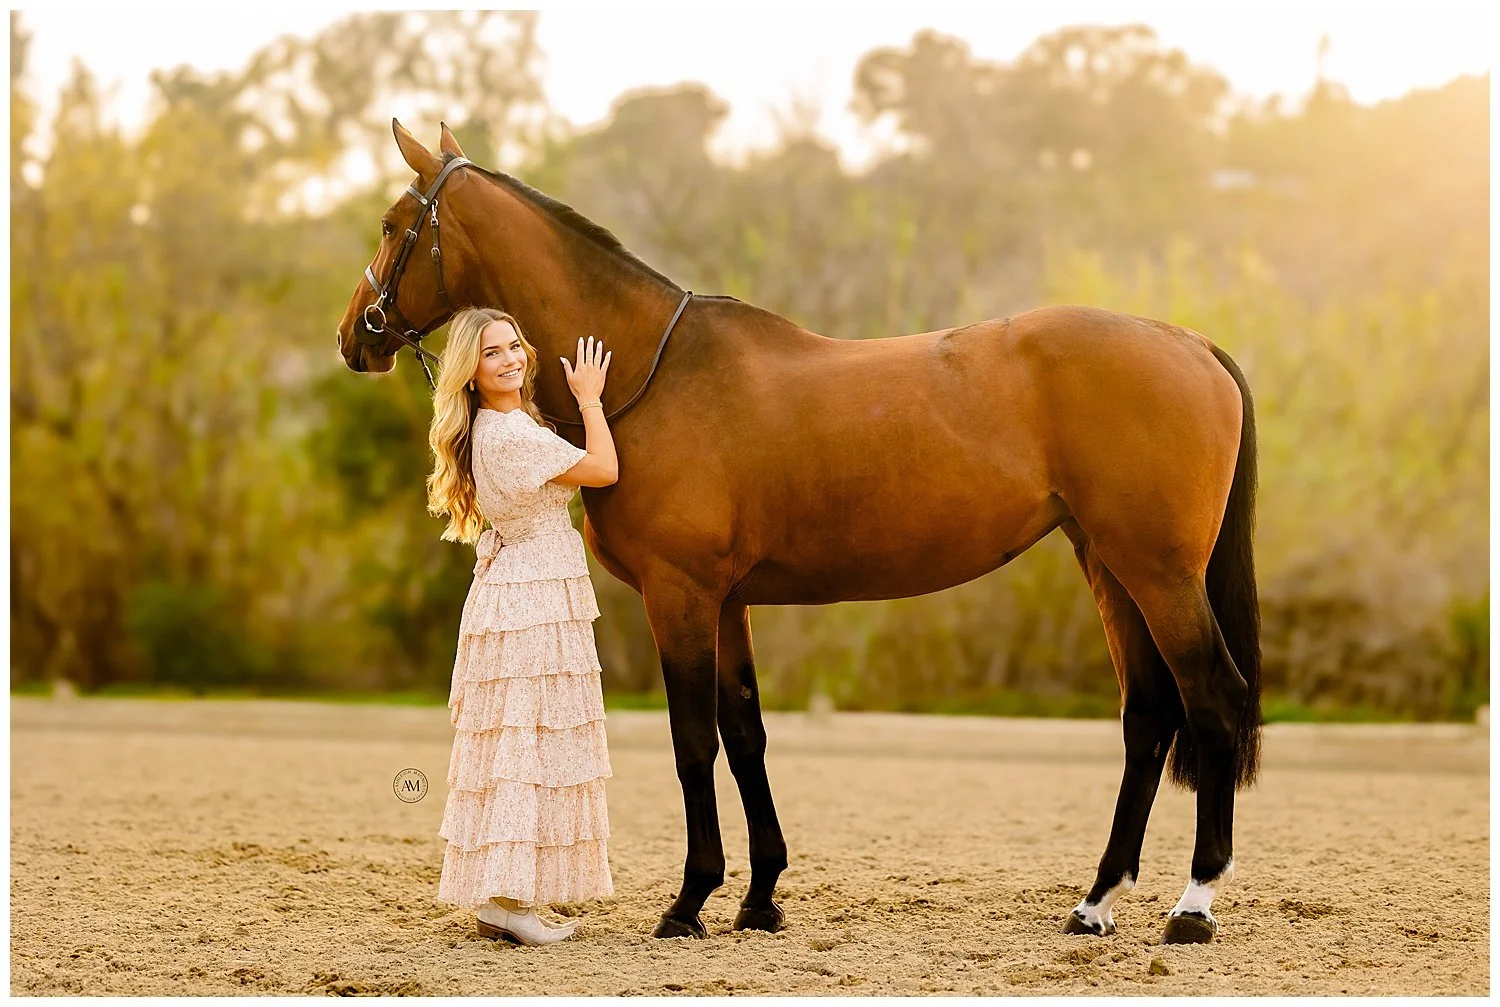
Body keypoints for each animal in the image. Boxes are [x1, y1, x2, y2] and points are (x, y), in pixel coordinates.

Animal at [336, 122, 1262, 946]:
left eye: (391, 222)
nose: (355, 336)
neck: (653, 372)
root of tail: (1193, 345)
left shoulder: (681, 594)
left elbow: (693, 741)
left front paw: (689, 901)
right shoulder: (728, 601)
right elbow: (746, 734)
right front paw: (760, 897)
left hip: (1159, 571)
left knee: (1212, 697)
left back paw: (1193, 905)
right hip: (1109, 565)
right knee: (1148, 716)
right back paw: (1095, 902)